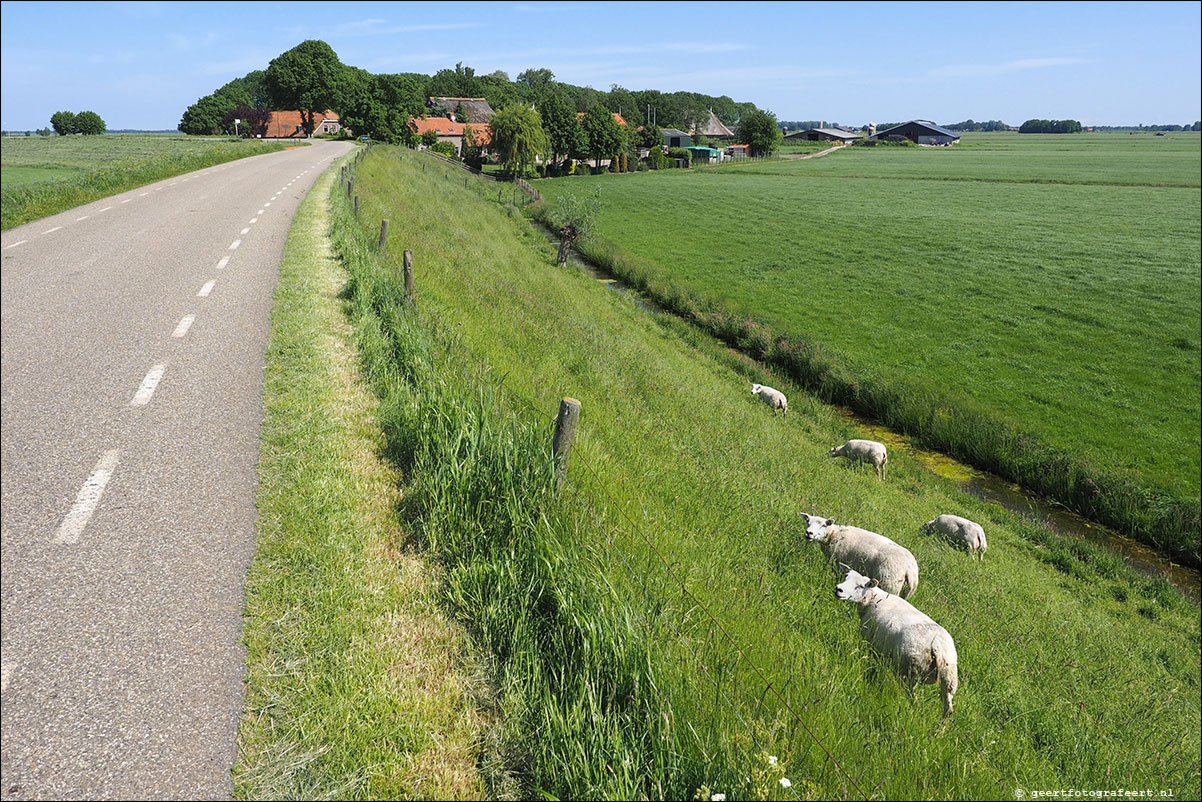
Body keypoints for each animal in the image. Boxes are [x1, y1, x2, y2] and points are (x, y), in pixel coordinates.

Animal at [836, 565, 956, 716]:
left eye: (860, 586)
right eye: (845, 578)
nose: (838, 589)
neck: (874, 599)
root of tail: (937, 648)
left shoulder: (871, 642)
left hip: (908, 670)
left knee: (912, 698)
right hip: (949, 677)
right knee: (948, 708)